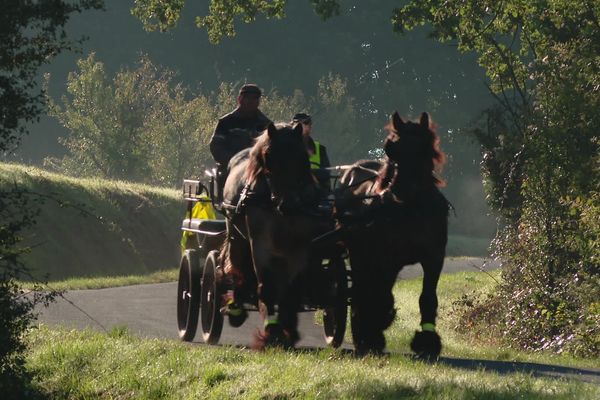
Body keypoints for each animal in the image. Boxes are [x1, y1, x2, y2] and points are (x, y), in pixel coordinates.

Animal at [221, 122, 324, 350]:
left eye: (302, 155)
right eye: (268, 156)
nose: (288, 203)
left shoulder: (300, 249)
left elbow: (292, 290)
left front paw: (289, 330)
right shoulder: (260, 245)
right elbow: (266, 287)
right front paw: (272, 332)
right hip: (236, 236)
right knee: (237, 268)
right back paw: (236, 308)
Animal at [340, 111, 448, 358]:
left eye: (425, 148)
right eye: (391, 148)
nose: (401, 189)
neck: (411, 208)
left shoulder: (434, 258)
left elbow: (428, 298)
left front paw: (428, 343)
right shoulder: (386, 257)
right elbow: (378, 292)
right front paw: (373, 331)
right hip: (362, 255)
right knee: (365, 287)